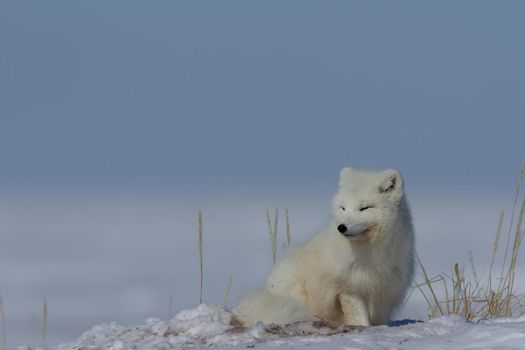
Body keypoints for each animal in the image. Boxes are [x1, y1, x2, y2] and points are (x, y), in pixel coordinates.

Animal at [236, 167, 414, 326]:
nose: (341, 227)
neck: (371, 252)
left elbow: (380, 319)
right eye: (343, 208)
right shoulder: (348, 288)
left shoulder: (386, 290)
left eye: (364, 208)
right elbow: (359, 317)